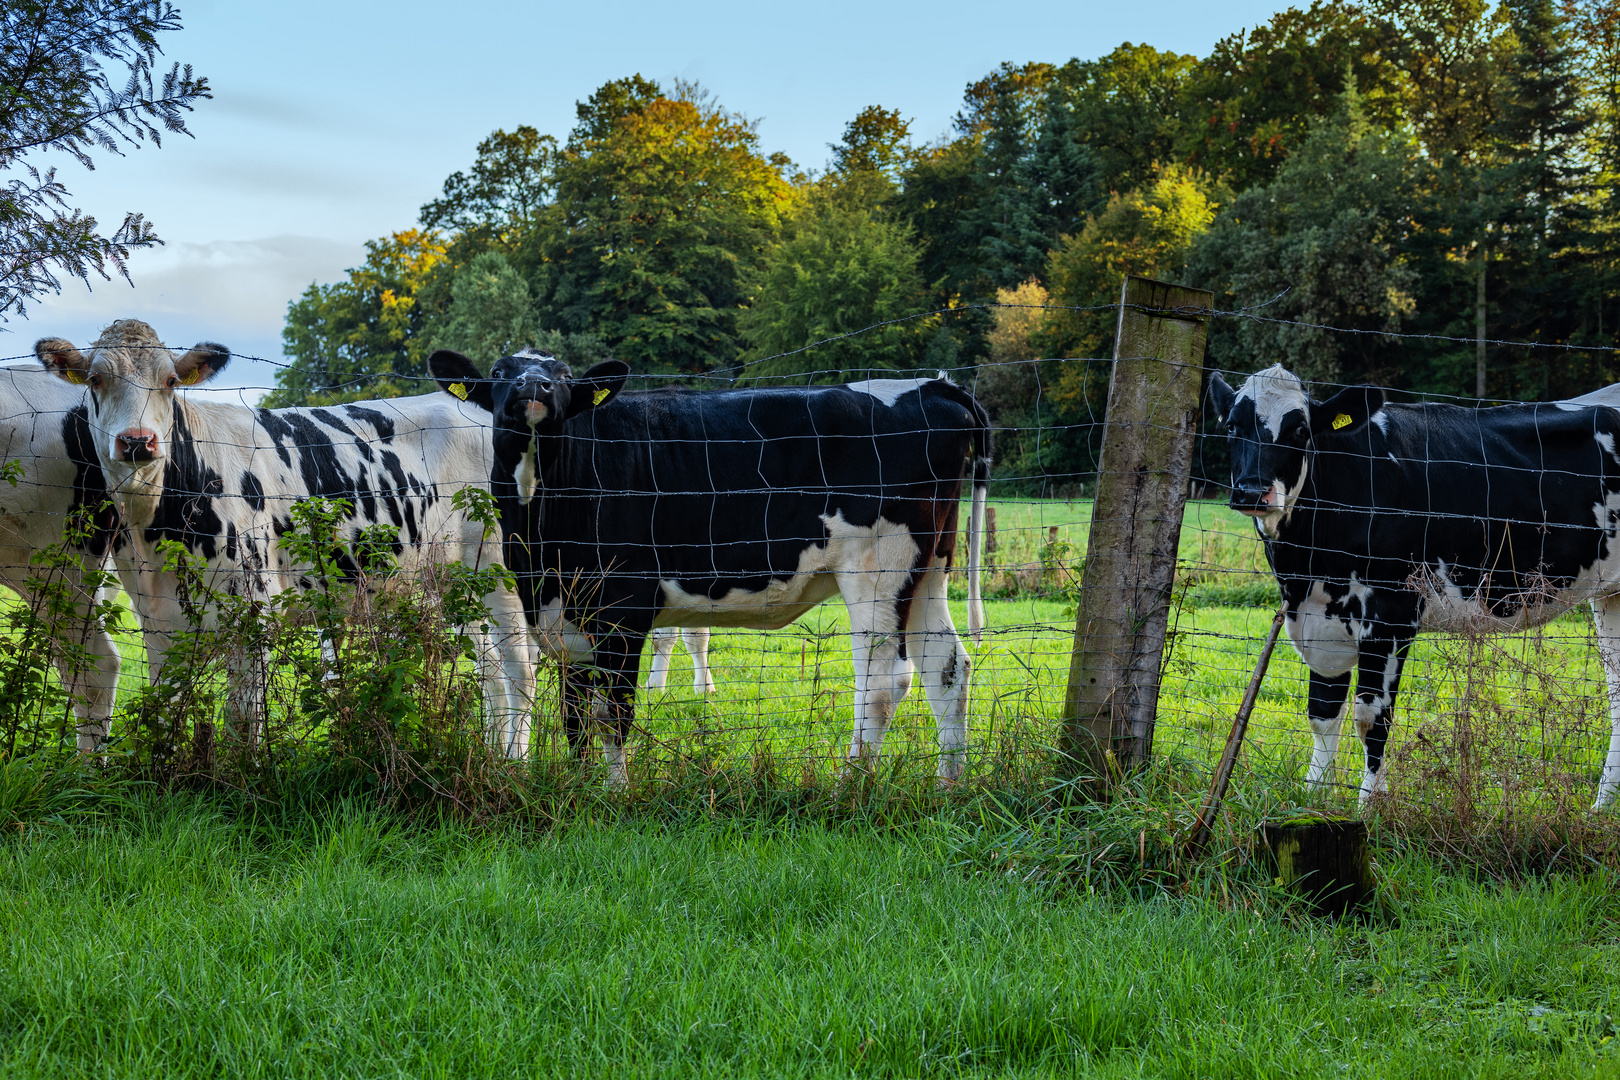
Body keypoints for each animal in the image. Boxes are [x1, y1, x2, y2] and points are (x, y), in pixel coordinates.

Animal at [36, 317, 531, 748]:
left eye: (170, 381)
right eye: (95, 380)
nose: (138, 441)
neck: (157, 531)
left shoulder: (255, 612)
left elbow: (242, 721)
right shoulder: (158, 624)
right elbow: (162, 710)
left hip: (500, 571)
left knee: (519, 670)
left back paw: (514, 761)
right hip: (453, 583)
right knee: (489, 672)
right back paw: (491, 754)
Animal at [427, 348, 984, 786]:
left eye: (563, 374)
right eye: (500, 370)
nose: (533, 386)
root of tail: (935, 386)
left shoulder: (624, 608)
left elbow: (612, 712)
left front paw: (615, 793)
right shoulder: (563, 616)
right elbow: (574, 713)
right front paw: (580, 787)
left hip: (878, 570)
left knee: (883, 680)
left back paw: (852, 784)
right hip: (930, 565)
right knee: (948, 669)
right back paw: (948, 784)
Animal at [1211, 365, 1620, 809]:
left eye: (1300, 430)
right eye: (1231, 426)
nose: (1252, 491)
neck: (1306, 569)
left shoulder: (1392, 611)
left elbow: (1371, 718)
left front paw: (1369, 807)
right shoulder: (1319, 619)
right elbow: (1322, 714)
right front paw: (1313, 800)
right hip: (1610, 595)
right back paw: (1600, 809)